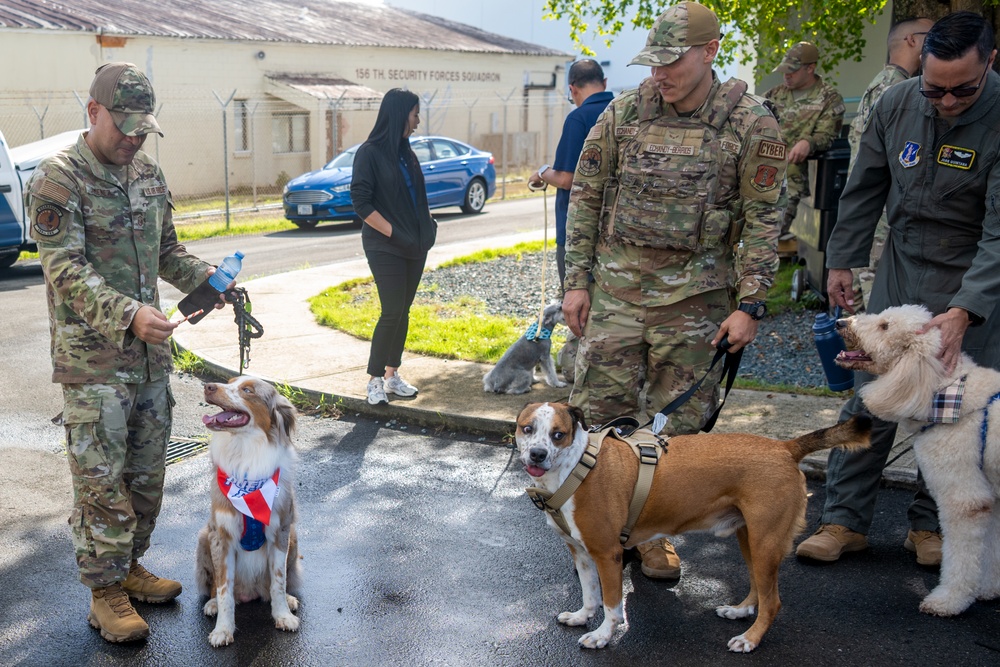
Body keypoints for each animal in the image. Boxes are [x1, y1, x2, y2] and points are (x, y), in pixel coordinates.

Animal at [836, 306, 1000, 620]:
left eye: (885, 326)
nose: (839, 321)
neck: (946, 392)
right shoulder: (992, 496)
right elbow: (990, 549)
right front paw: (988, 588)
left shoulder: (964, 500)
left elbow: (961, 558)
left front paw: (949, 601)